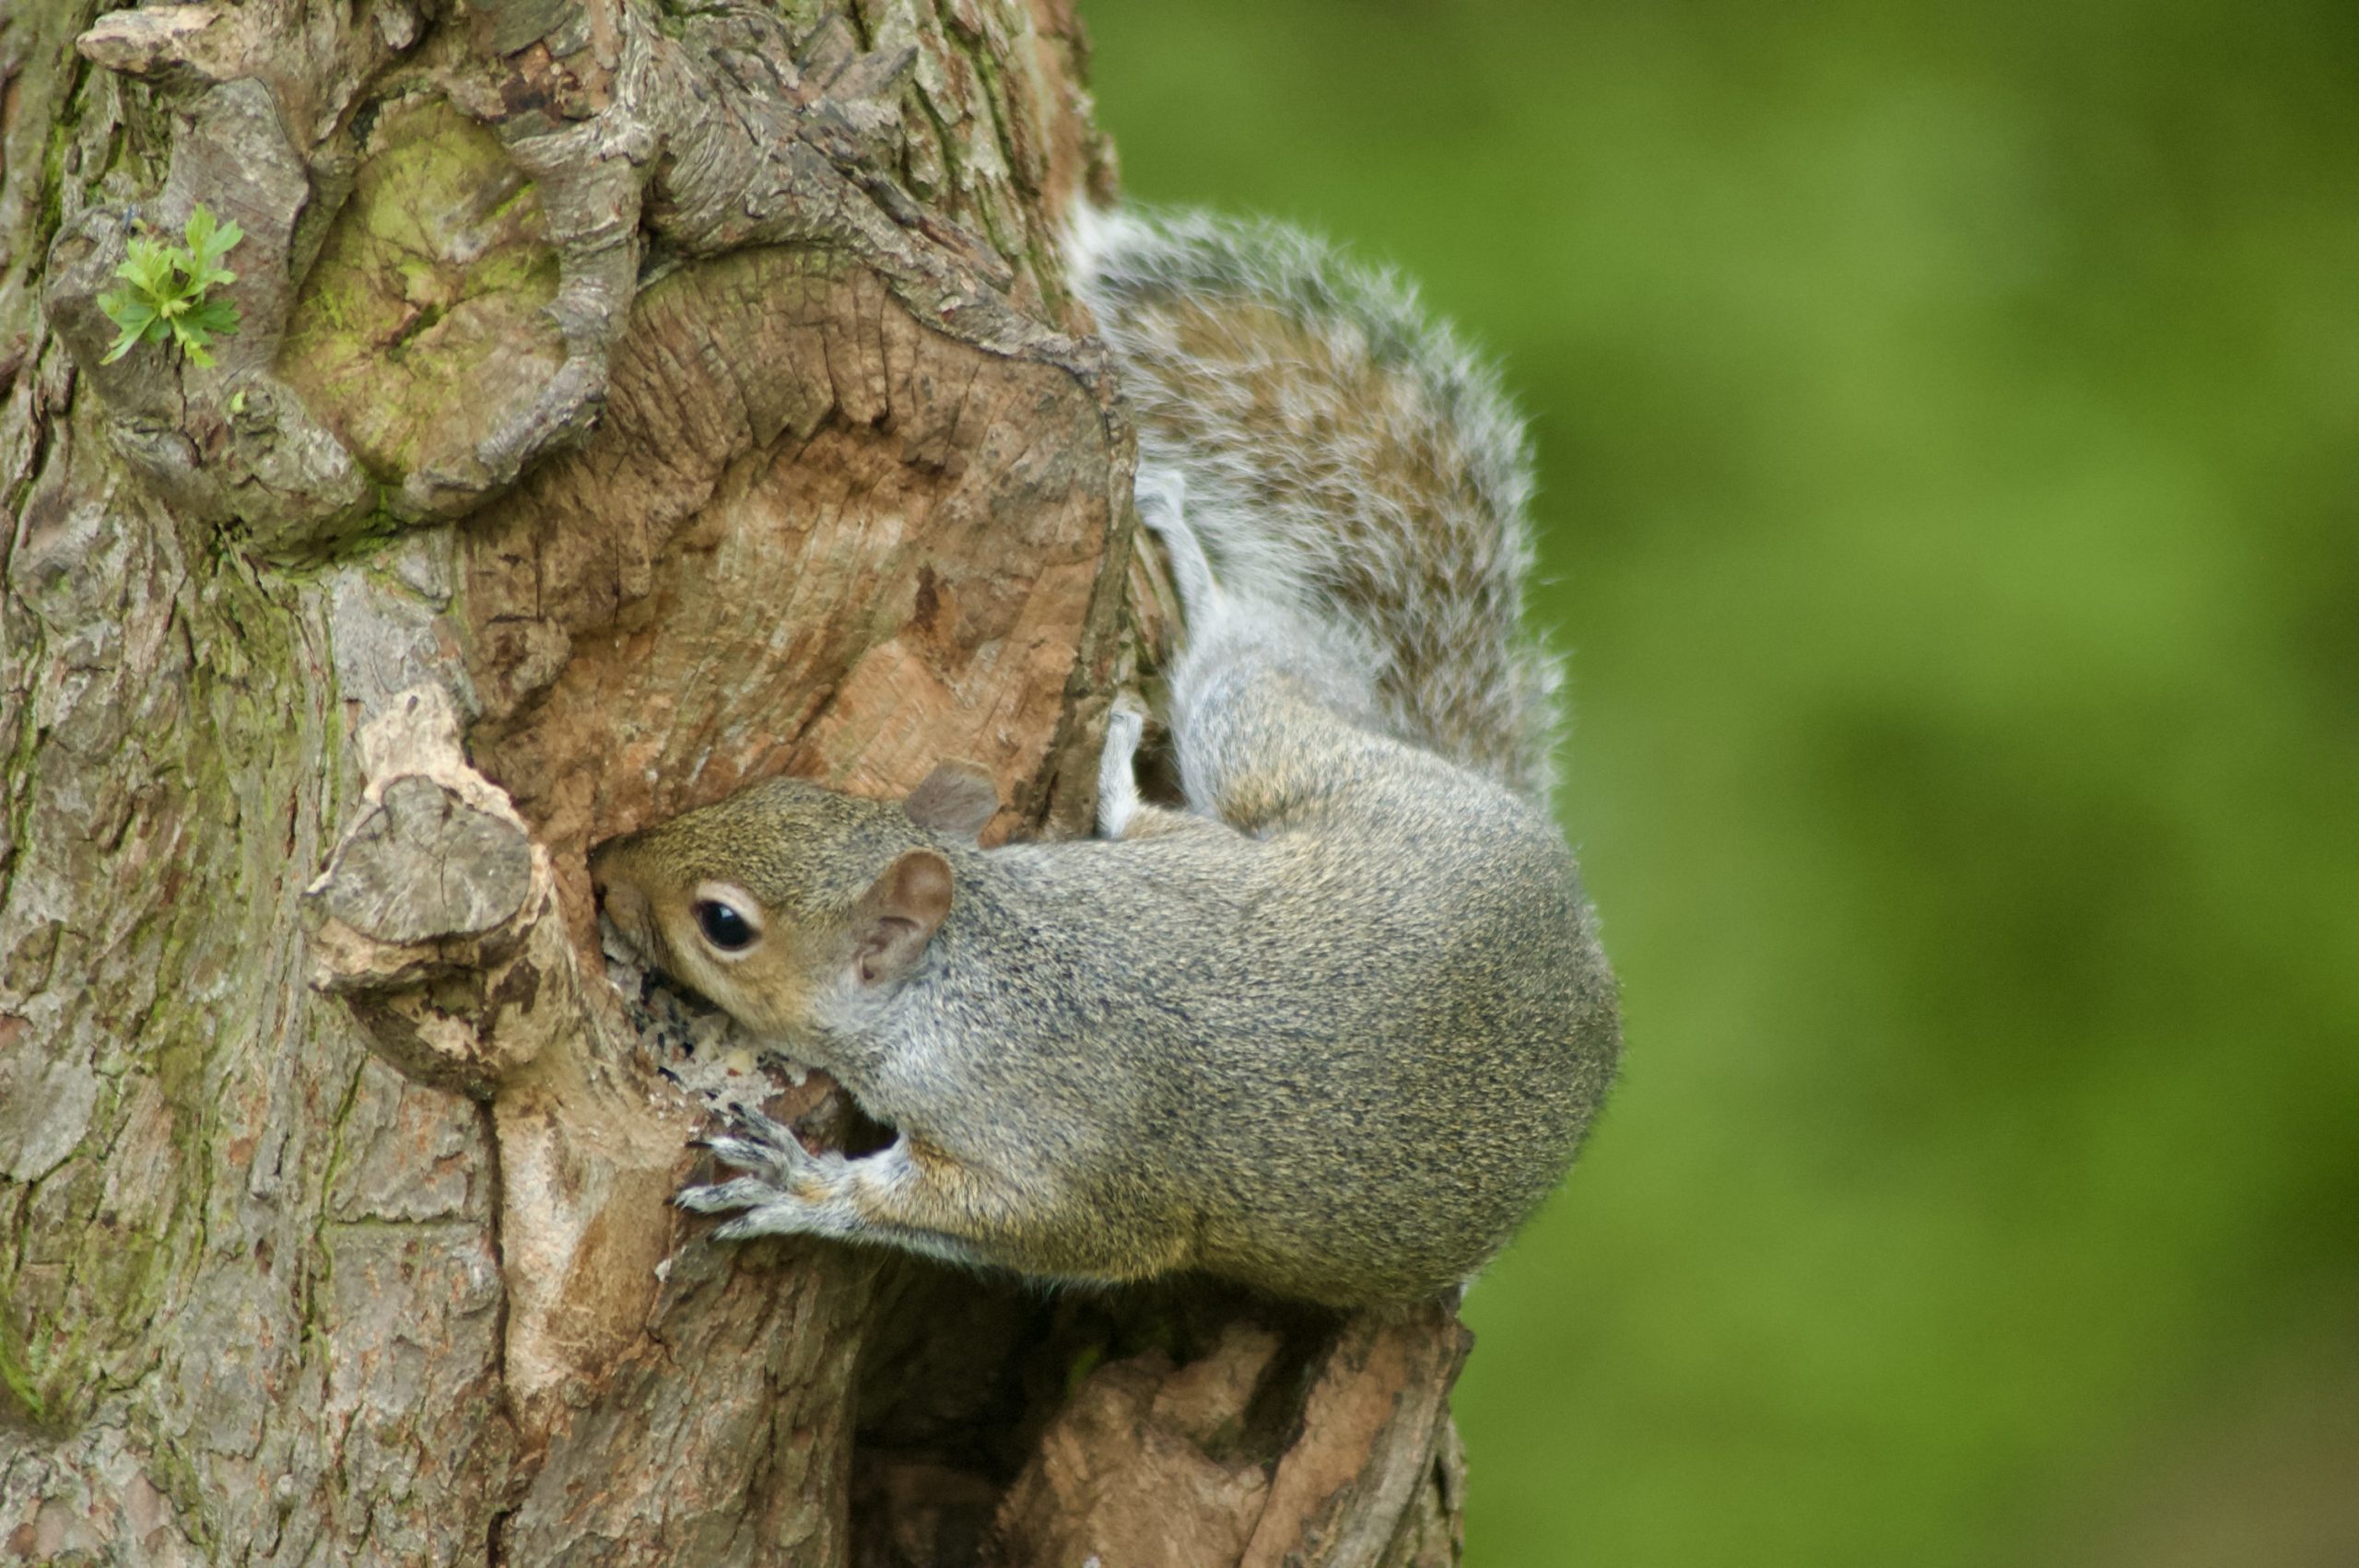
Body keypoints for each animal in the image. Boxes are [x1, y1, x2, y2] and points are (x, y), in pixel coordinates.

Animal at [589, 208, 1620, 1308]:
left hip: (1264, 746)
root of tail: (1578, 935)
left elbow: (1001, 1224)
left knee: (1243, 684)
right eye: (777, 787)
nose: (606, 870)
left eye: (724, 924)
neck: (976, 971)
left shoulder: (1059, 1168)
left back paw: (1202, 590)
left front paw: (798, 1186)